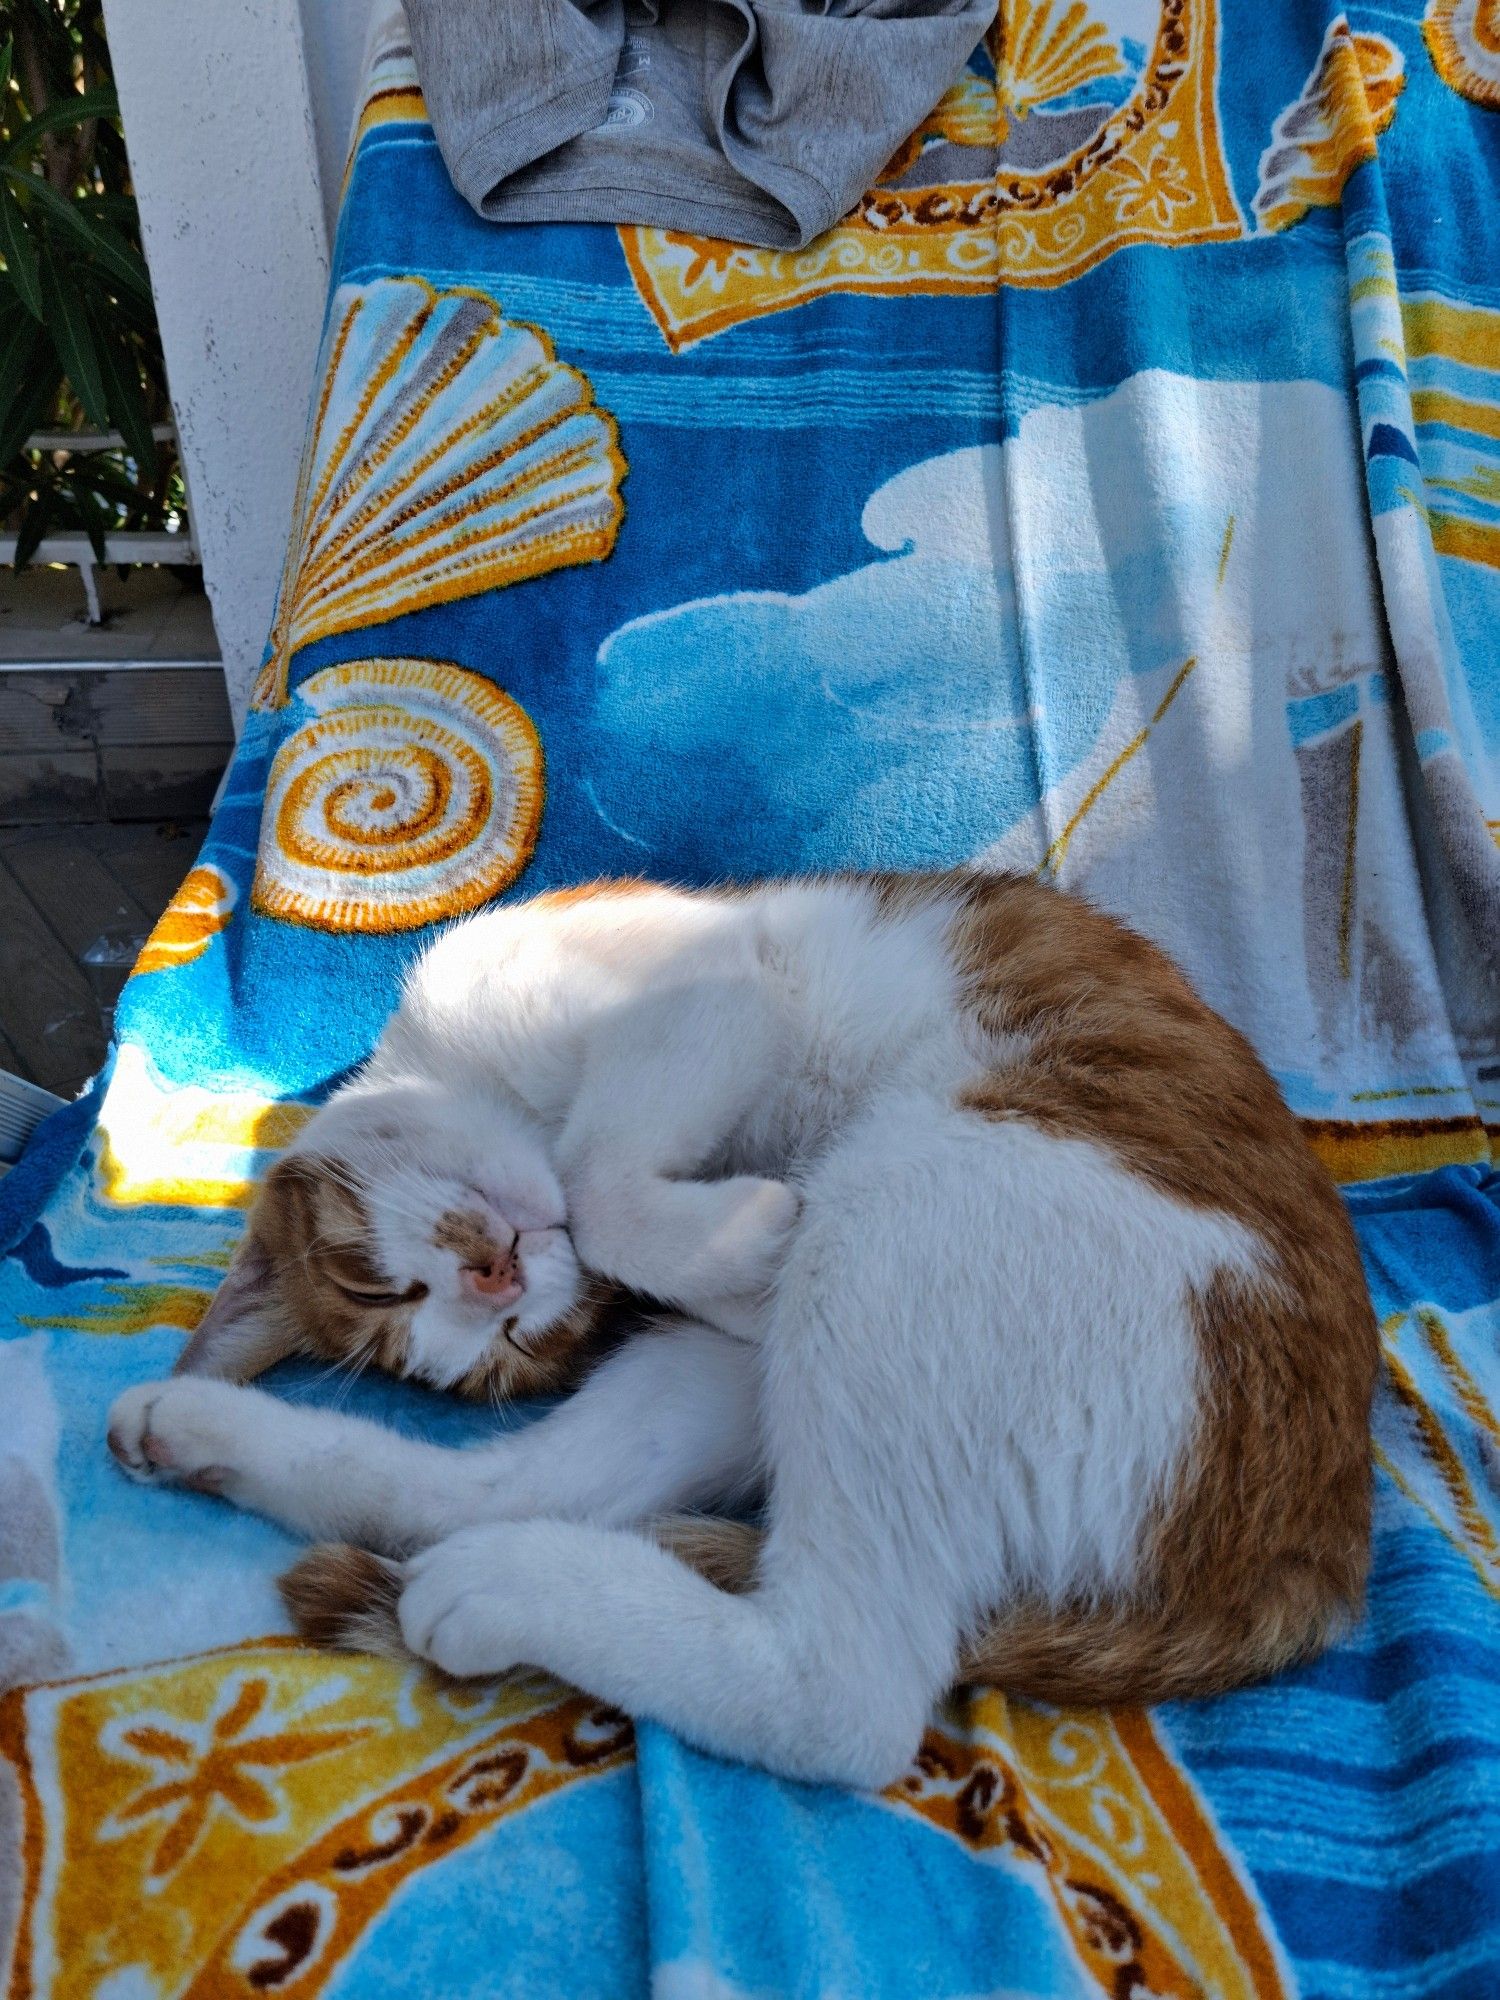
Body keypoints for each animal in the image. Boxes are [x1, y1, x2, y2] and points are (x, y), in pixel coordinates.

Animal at [106, 868, 1384, 1792]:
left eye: (380, 1288)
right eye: (485, 1336)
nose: (496, 1277)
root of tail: (1317, 1551)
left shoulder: (704, 981)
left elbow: (596, 1173)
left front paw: (737, 1236)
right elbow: (608, 1211)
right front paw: (734, 1256)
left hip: (906, 1203)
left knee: (844, 1695)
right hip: (794, 1331)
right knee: (500, 1496)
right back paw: (198, 1431)